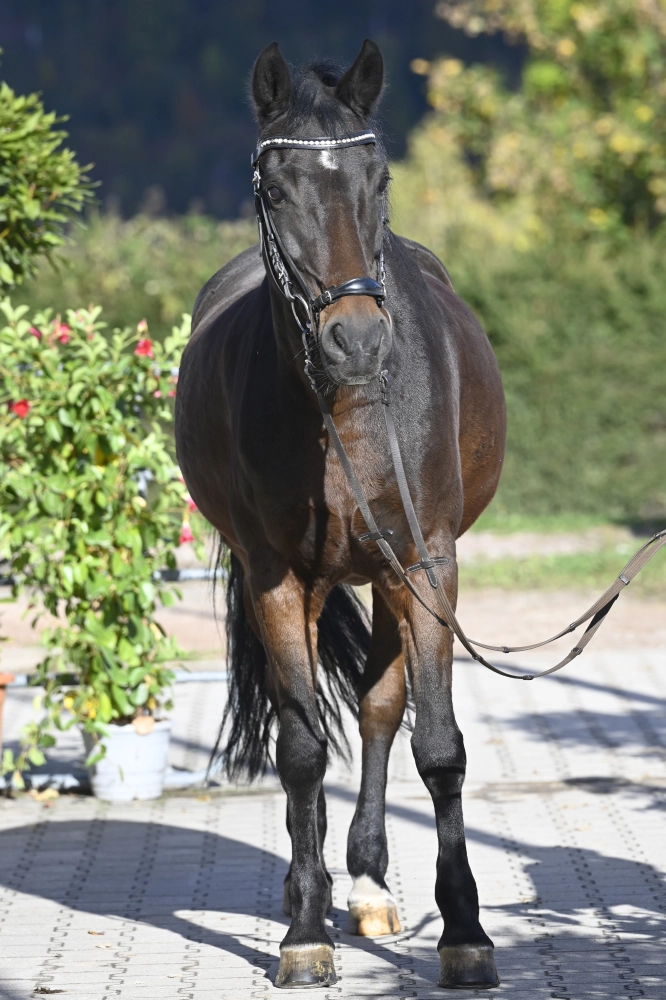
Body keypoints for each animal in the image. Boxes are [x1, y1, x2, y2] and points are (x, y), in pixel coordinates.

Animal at [175, 39, 504, 992]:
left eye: (378, 179)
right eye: (277, 190)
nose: (356, 339)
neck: (347, 413)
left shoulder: (428, 566)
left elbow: (438, 744)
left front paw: (465, 931)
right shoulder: (277, 578)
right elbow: (299, 753)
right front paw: (301, 934)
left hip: (392, 578)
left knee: (381, 709)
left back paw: (366, 885)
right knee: (319, 733)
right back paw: (316, 892)